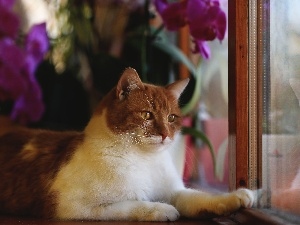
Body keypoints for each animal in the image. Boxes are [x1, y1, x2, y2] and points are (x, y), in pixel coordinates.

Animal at [0, 67, 253, 221]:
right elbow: (133, 204)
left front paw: (237, 197)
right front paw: (162, 209)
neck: (144, 160)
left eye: (172, 118)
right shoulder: (71, 206)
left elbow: (198, 198)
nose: (165, 134)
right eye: (147, 115)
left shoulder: (174, 191)